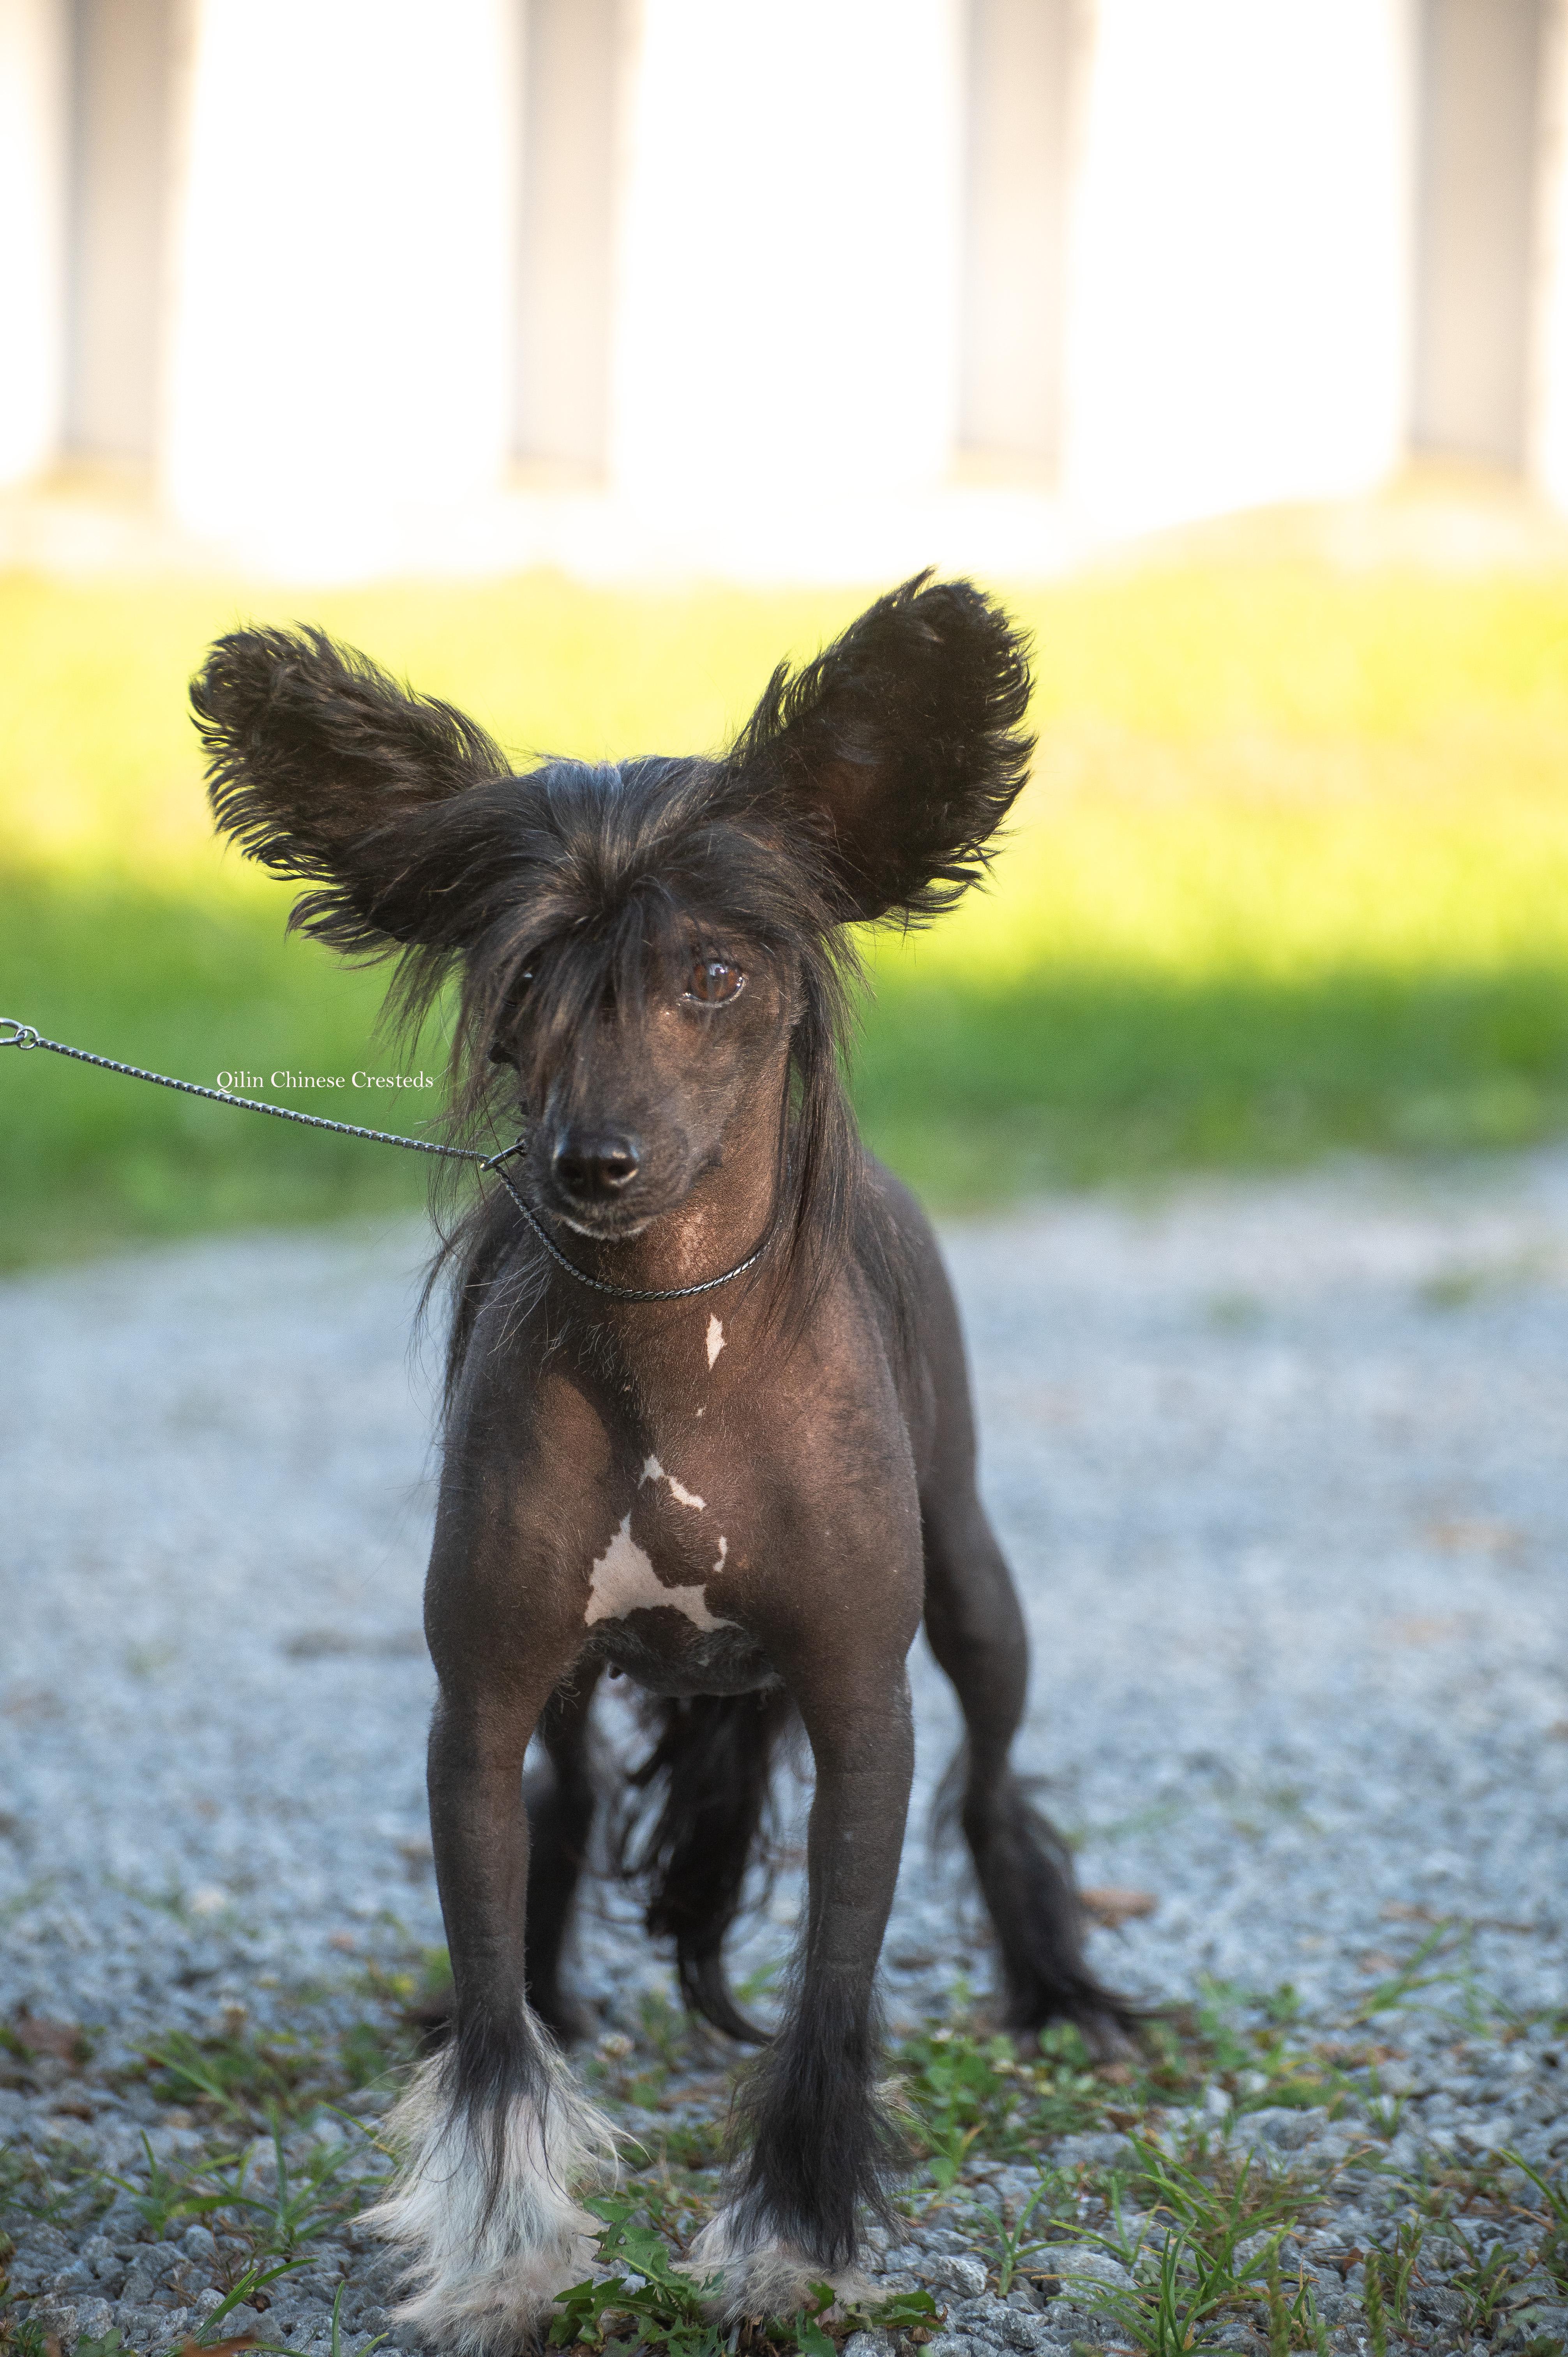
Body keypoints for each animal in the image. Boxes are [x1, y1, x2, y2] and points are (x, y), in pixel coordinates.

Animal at [191, 573, 1133, 2352]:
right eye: (525, 983)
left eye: (709, 975)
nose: (590, 1163)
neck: (668, 1354)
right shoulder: (477, 1704)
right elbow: (492, 2017)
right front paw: (501, 2241)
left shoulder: (861, 1707)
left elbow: (831, 1993)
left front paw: (794, 2234)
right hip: (565, 1693)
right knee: (563, 1817)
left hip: (976, 1583)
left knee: (993, 1781)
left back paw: (1060, 1992)